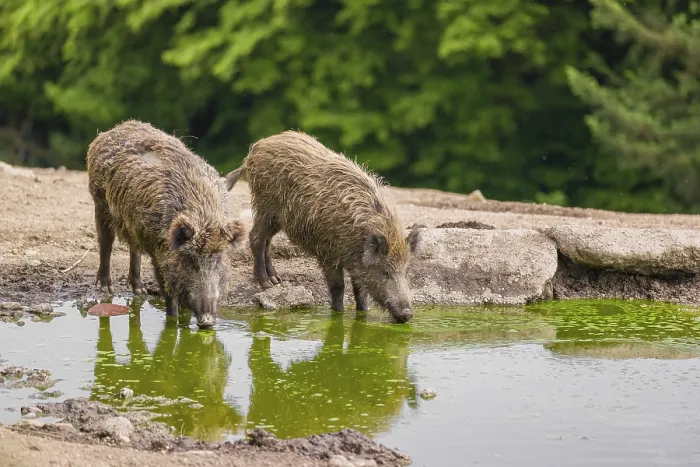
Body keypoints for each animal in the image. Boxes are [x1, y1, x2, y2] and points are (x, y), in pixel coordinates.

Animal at [86, 120, 245, 328]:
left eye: (218, 259)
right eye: (189, 259)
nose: (207, 320)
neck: (201, 217)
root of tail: (112, 130)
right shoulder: (159, 252)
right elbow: (168, 291)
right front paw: (173, 321)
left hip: (133, 224)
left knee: (134, 248)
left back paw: (140, 291)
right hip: (100, 201)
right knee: (106, 242)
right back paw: (107, 289)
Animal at [226, 130, 422, 323]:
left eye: (405, 270)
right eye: (385, 272)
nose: (407, 314)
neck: (358, 237)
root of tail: (257, 147)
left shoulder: (357, 264)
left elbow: (360, 293)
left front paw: (362, 314)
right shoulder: (328, 253)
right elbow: (338, 288)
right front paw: (338, 314)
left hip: (277, 219)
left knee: (267, 240)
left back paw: (276, 280)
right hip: (266, 207)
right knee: (256, 238)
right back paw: (266, 283)